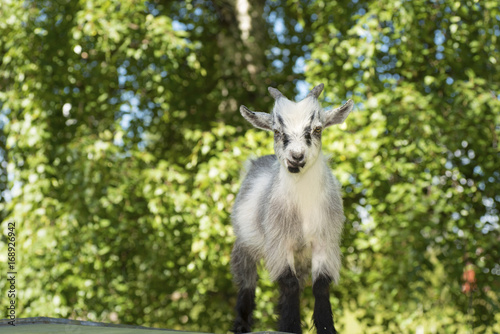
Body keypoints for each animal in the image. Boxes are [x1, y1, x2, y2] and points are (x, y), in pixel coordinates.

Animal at [230, 83, 352, 334]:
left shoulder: (324, 241)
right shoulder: (279, 241)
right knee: (246, 282)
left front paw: (325, 327)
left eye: (317, 129)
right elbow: (289, 283)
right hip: (244, 243)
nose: (296, 157)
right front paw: (291, 326)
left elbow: (320, 285)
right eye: (277, 131)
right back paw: (241, 324)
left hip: (301, 256)